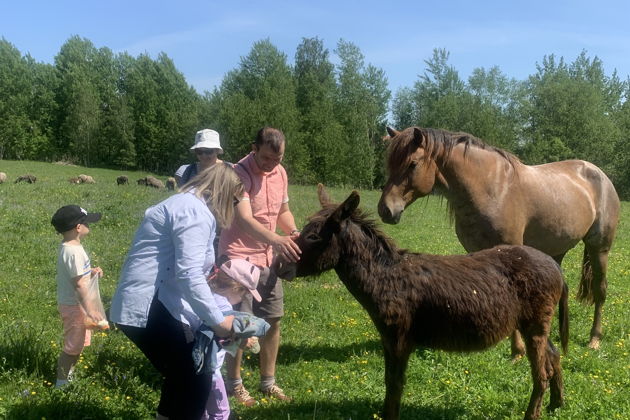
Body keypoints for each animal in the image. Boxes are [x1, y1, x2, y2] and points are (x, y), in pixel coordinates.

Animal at [278, 187, 572, 420]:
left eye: (313, 237)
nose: (280, 267)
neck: (385, 276)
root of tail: (555, 267)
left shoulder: (399, 338)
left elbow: (395, 383)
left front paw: (389, 416)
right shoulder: (388, 338)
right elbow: (390, 381)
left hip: (534, 324)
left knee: (541, 374)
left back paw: (534, 414)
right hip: (534, 324)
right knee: (554, 357)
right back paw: (557, 405)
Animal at [380, 126, 624, 352]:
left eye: (412, 164)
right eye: (389, 163)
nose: (386, 210)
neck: (491, 188)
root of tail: (600, 175)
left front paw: (517, 350)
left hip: (600, 249)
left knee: (600, 290)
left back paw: (594, 339)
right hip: (557, 250)